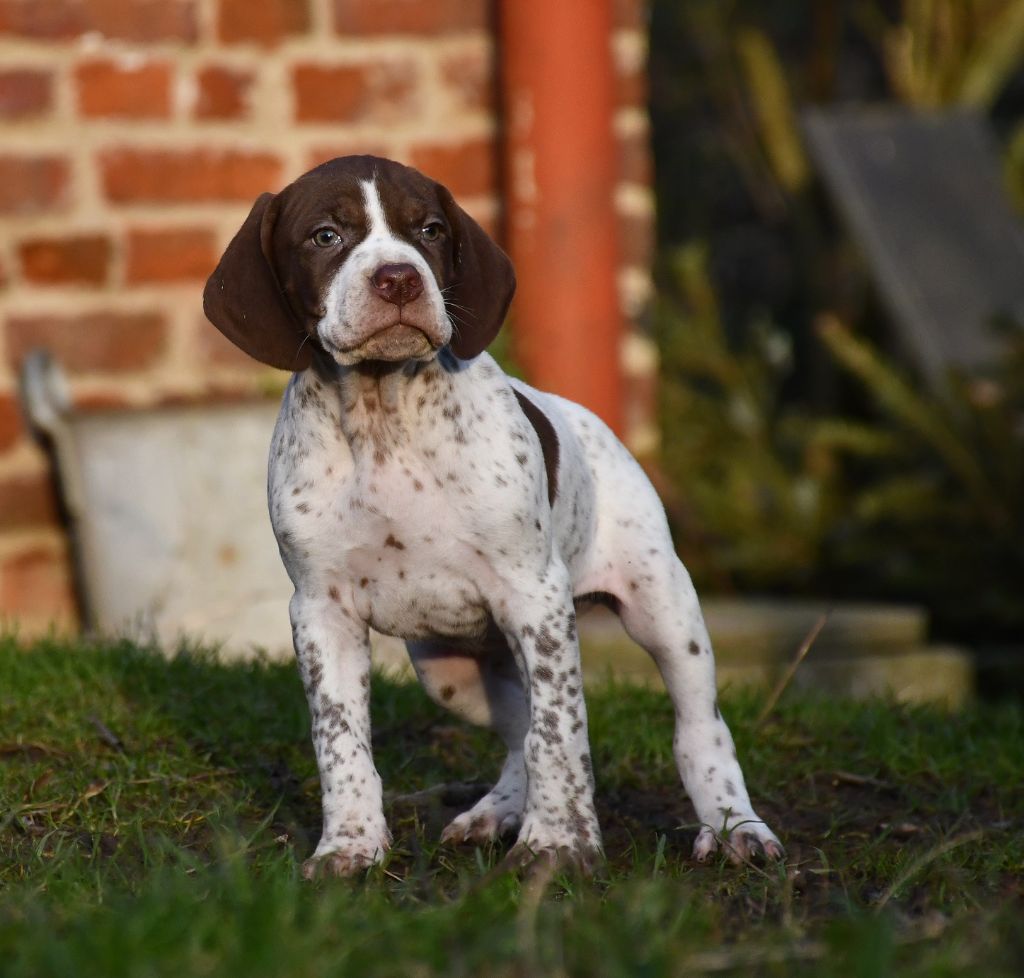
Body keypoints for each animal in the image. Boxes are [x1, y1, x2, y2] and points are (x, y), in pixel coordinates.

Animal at [205, 154, 782, 880]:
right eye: (325, 237)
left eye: (428, 229)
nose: (398, 279)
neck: (383, 412)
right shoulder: (320, 611)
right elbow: (340, 742)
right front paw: (350, 846)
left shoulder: (536, 598)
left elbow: (559, 733)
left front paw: (559, 846)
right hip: (454, 673)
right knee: (515, 735)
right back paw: (496, 812)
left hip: (664, 612)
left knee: (697, 727)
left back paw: (735, 827)